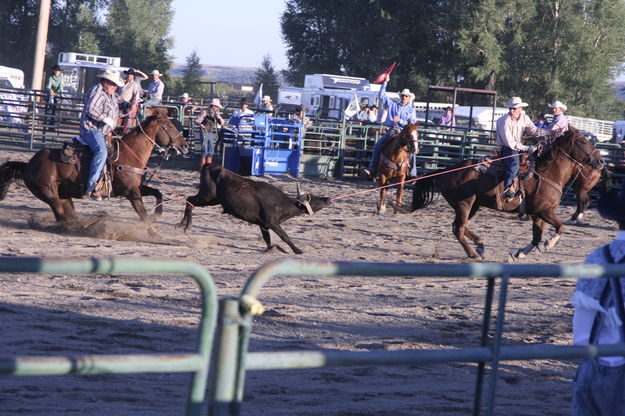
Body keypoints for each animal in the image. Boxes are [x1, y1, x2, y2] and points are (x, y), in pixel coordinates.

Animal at [0, 109, 188, 224]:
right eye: (169, 126)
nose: (185, 145)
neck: (130, 154)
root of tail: (28, 164)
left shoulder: (136, 188)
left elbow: (158, 192)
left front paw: (157, 214)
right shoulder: (132, 193)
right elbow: (143, 215)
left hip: (63, 195)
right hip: (49, 193)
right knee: (60, 215)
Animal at [412, 126, 604, 260]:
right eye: (582, 141)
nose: (601, 161)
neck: (548, 173)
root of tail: (445, 171)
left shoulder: (538, 214)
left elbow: (536, 236)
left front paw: (519, 253)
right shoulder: (544, 211)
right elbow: (560, 227)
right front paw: (548, 244)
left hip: (473, 205)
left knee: (458, 226)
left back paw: (480, 245)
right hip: (464, 204)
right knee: (459, 228)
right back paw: (473, 253)